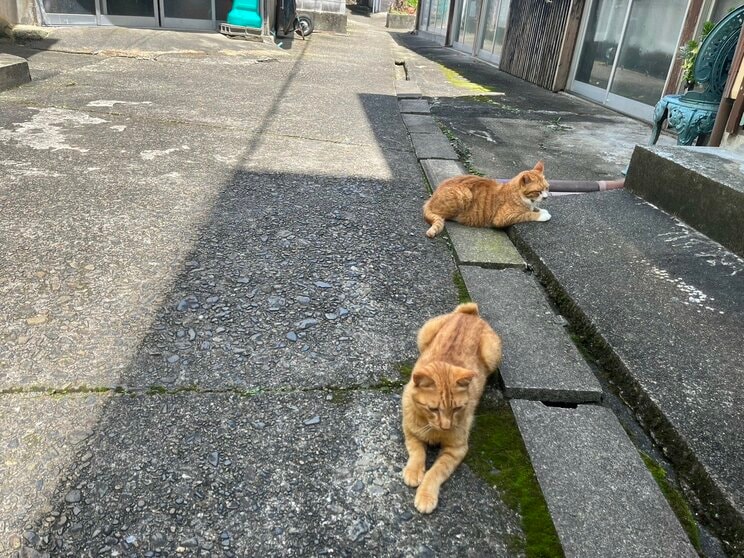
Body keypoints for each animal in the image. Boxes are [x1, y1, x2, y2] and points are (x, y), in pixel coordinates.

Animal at [402, 304, 500, 516]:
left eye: (456, 408)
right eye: (433, 409)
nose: (446, 426)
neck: (434, 431)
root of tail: (469, 314)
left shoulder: (456, 449)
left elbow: (435, 472)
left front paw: (425, 495)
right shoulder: (410, 431)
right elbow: (417, 453)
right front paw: (413, 471)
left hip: (491, 354)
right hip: (423, 334)